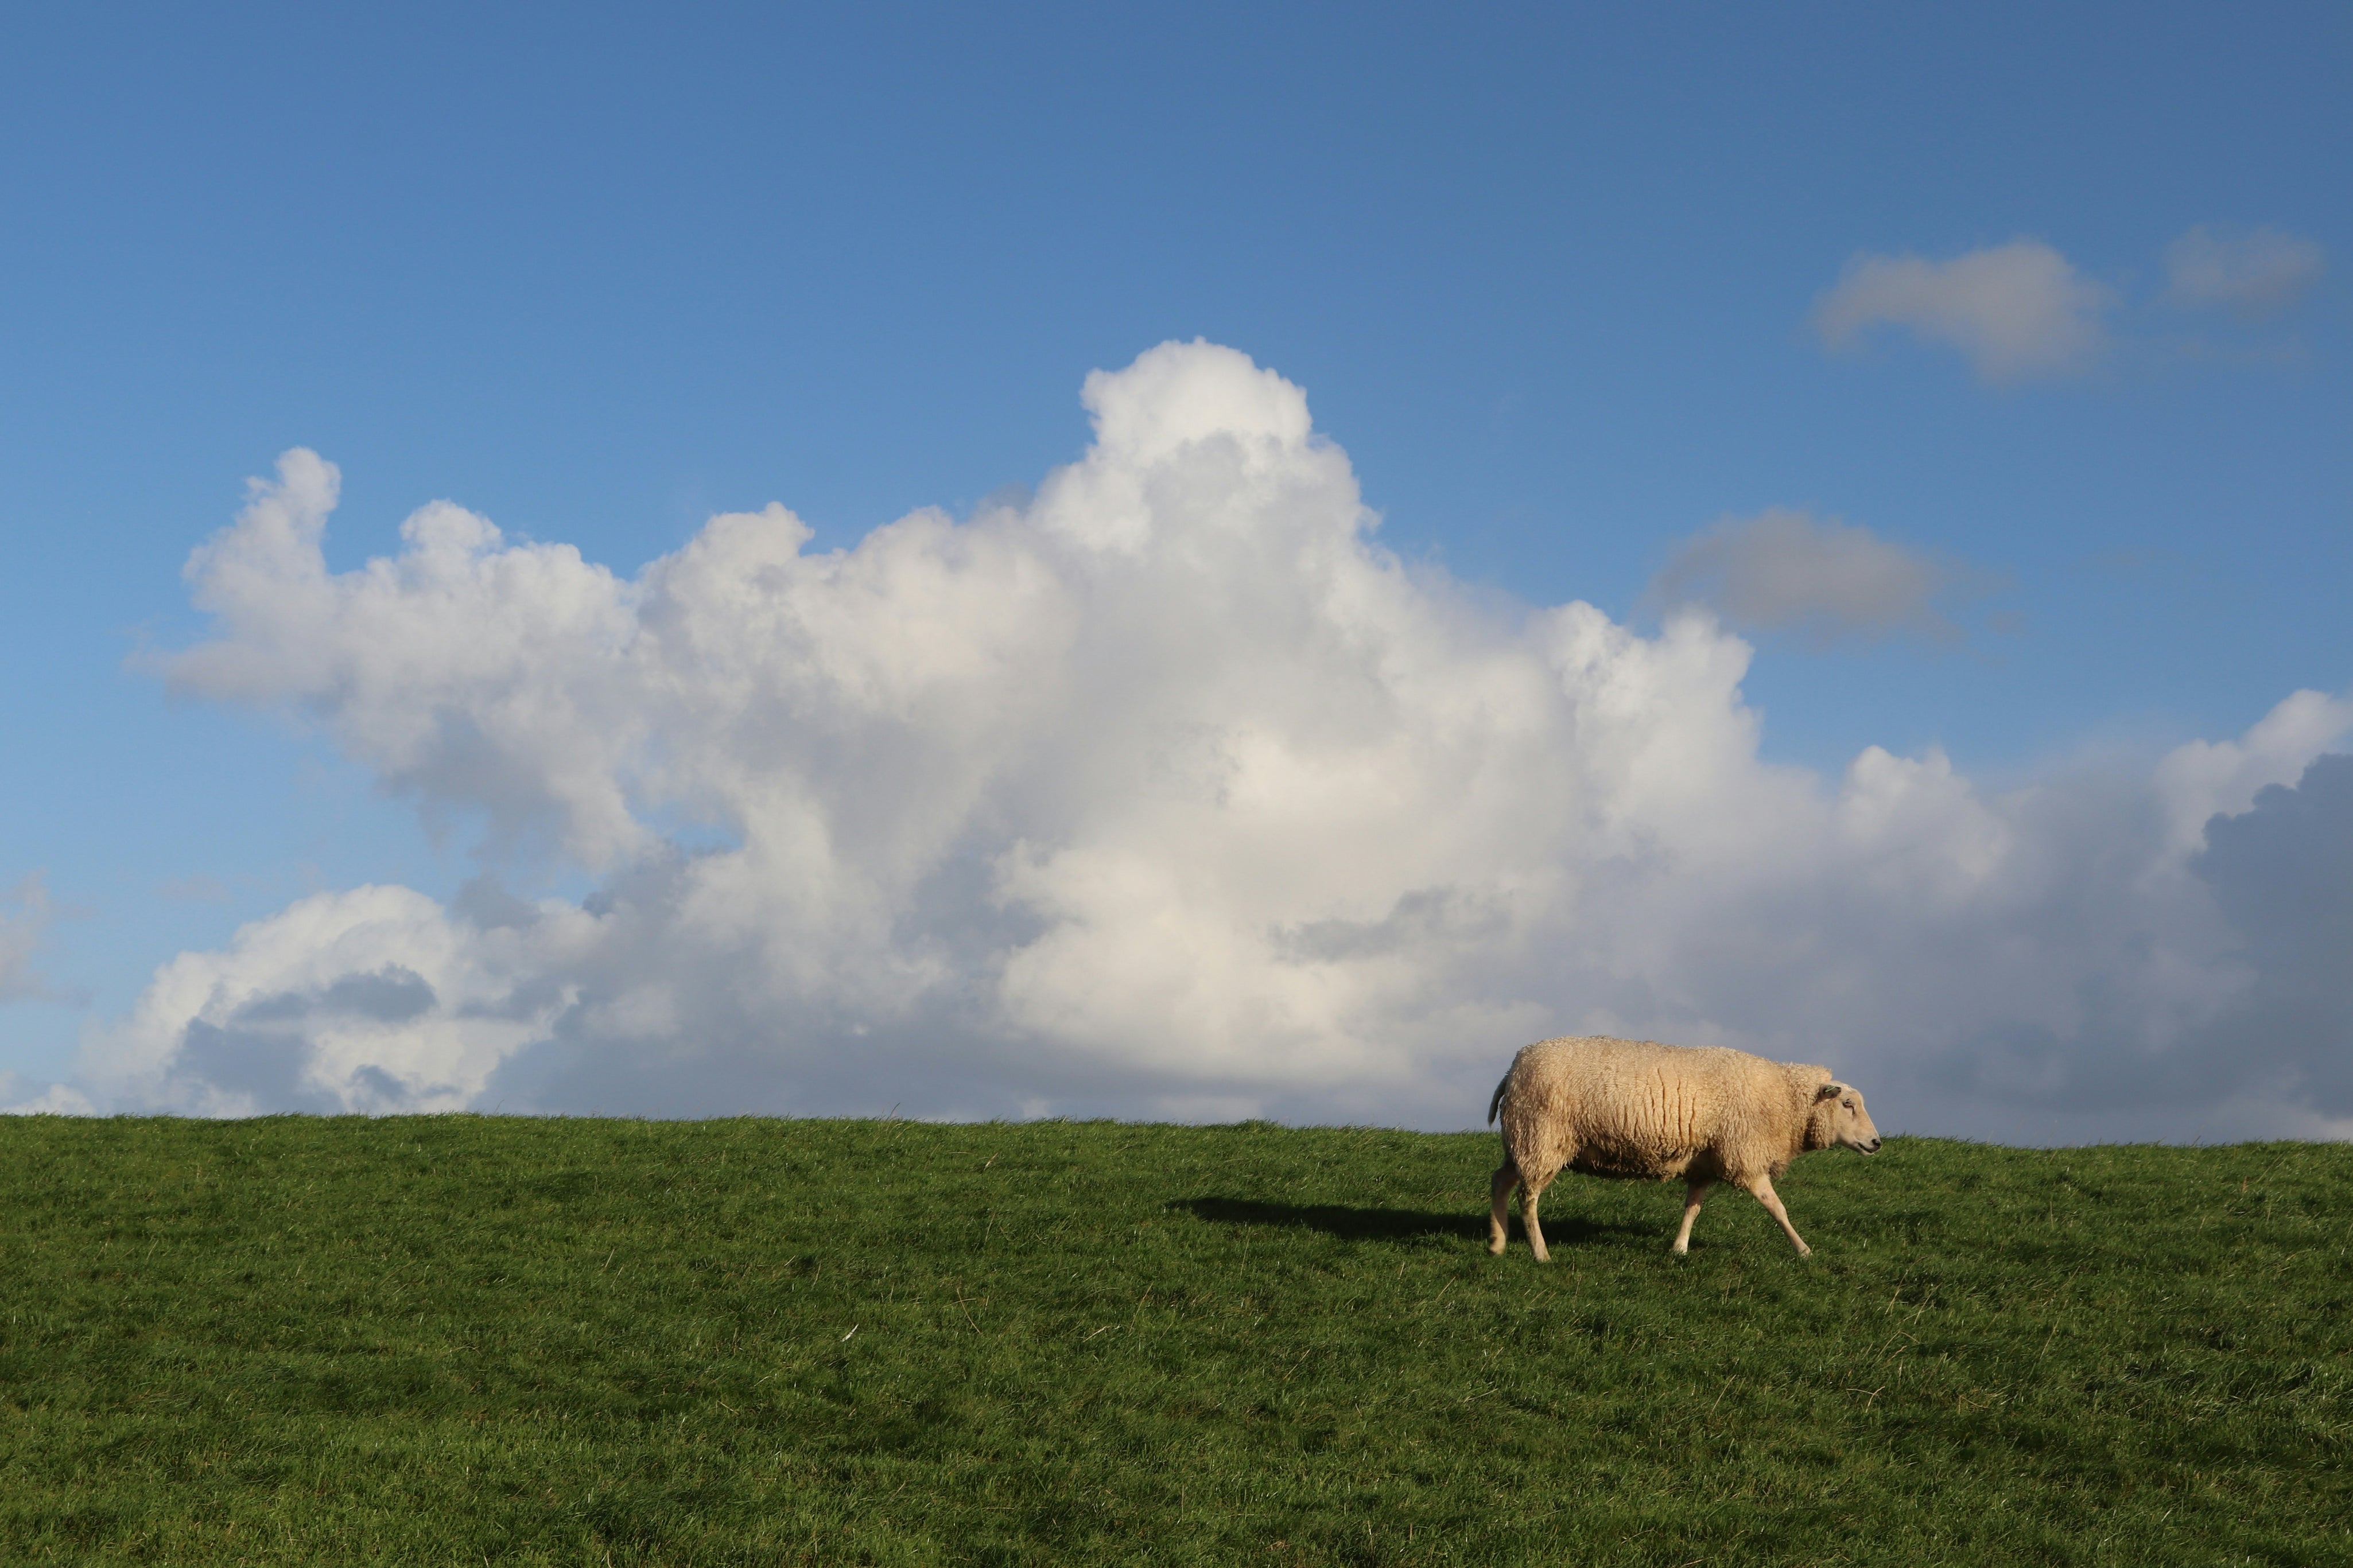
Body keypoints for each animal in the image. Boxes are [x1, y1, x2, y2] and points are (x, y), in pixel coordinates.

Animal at [1485, 1034, 1880, 1261]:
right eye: (1848, 1104)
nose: (1877, 1143)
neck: (1782, 1099)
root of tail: (1513, 1069)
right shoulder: (1744, 1156)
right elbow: (1777, 1208)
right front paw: (1803, 1250)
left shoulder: (1705, 1164)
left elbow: (1693, 1208)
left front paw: (1679, 1248)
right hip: (1543, 1138)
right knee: (1528, 1198)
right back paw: (1540, 1253)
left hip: (1522, 1140)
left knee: (1500, 1182)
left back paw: (1497, 1243)